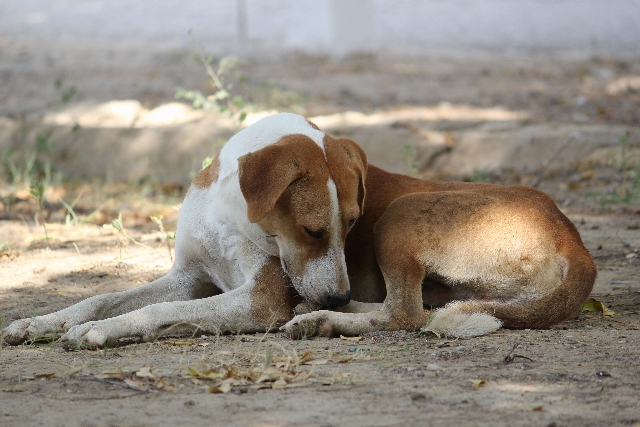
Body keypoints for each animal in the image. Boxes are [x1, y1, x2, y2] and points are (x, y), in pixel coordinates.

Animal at [2, 112, 596, 350]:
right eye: (313, 231)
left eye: (351, 224)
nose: (333, 291)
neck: (231, 217)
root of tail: (574, 238)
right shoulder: (188, 275)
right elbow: (101, 297)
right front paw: (42, 322)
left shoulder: (261, 298)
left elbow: (153, 311)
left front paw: (100, 333)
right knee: (412, 310)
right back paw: (326, 313)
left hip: (403, 215)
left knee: (407, 315)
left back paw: (324, 318)